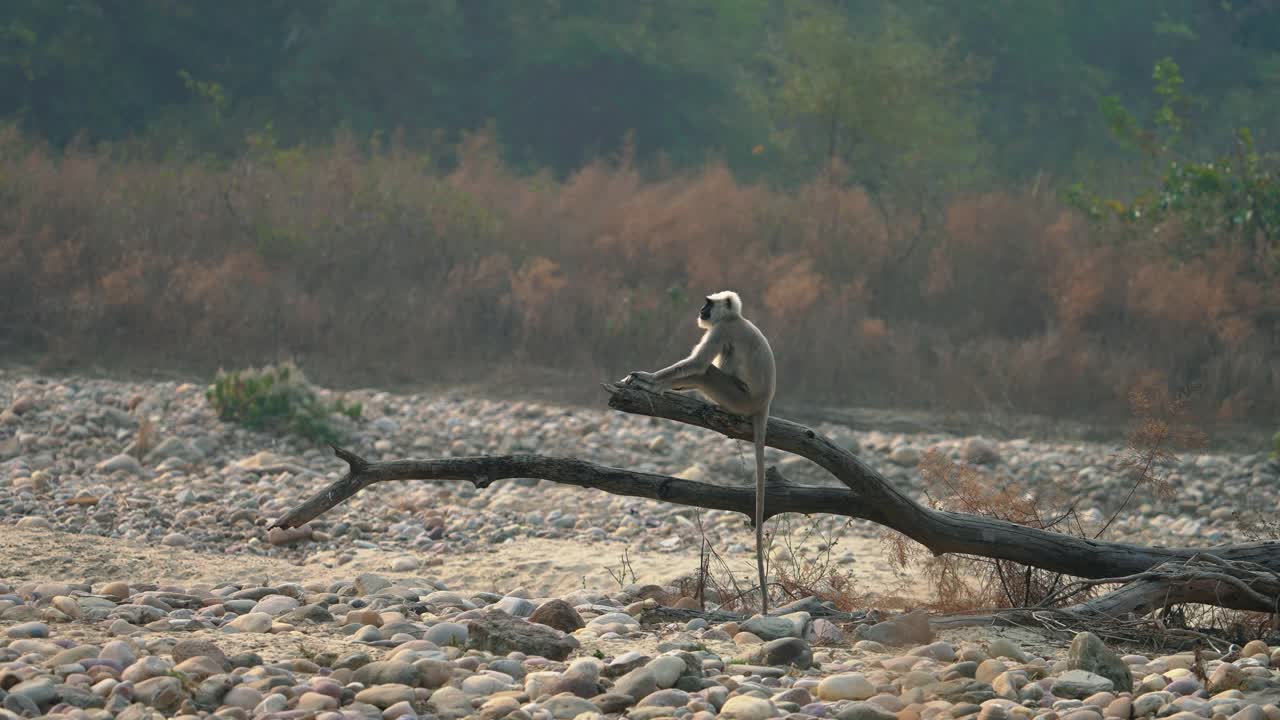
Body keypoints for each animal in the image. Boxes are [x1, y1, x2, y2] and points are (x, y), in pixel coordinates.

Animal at [622, 288, 778, 607]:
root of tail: (763, 403)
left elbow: (697, 364)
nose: (700, 311)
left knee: (705, 371)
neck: (735, 318)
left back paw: (658, 387)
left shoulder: (721, 330)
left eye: (707, 304)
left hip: (737, 397)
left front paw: (649, 380)